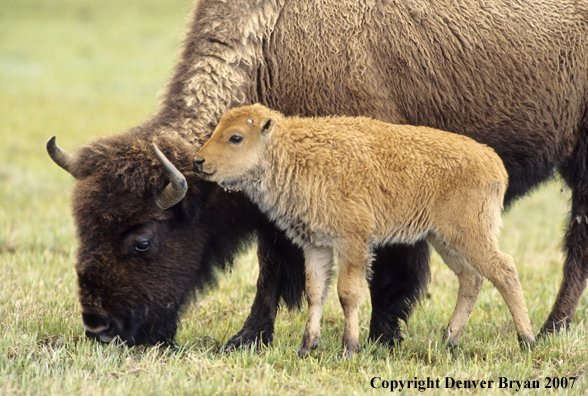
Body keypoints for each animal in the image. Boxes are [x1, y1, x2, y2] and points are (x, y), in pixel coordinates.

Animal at [195, 103, 536, 358]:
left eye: (236, 137)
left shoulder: (352, 243)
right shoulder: (316, 245)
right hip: (443, 239)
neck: (294, 152)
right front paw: (306, 347)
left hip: (469, 234)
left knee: (503, 270)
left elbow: (347, 293)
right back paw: (450, 340)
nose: (198, 161)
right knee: (471, 278)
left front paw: (349, 348)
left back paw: (527, 340)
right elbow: (315, 292)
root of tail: (494, 163)